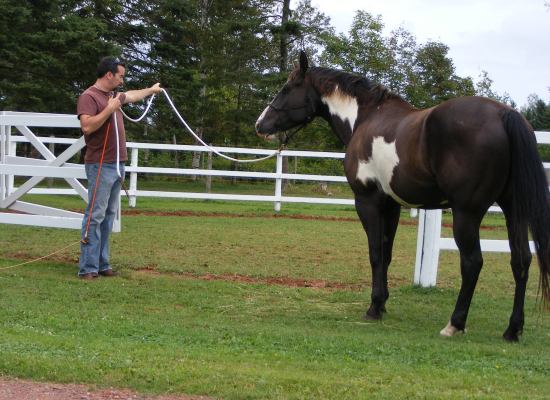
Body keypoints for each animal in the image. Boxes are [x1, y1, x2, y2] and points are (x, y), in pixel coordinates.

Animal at [256, 50, 550, 340]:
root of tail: (505, 115)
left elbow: (375, 253)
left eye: (287, 88)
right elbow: (387, 253)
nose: (261, 124)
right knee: (521, 260)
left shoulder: (367, 201)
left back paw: (455, 323)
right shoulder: (391, 205)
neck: (365, 118)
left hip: (467, 213)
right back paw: (512, 329)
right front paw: (382, 303)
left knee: (472, 262)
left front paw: (374, 308)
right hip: (513, 210)